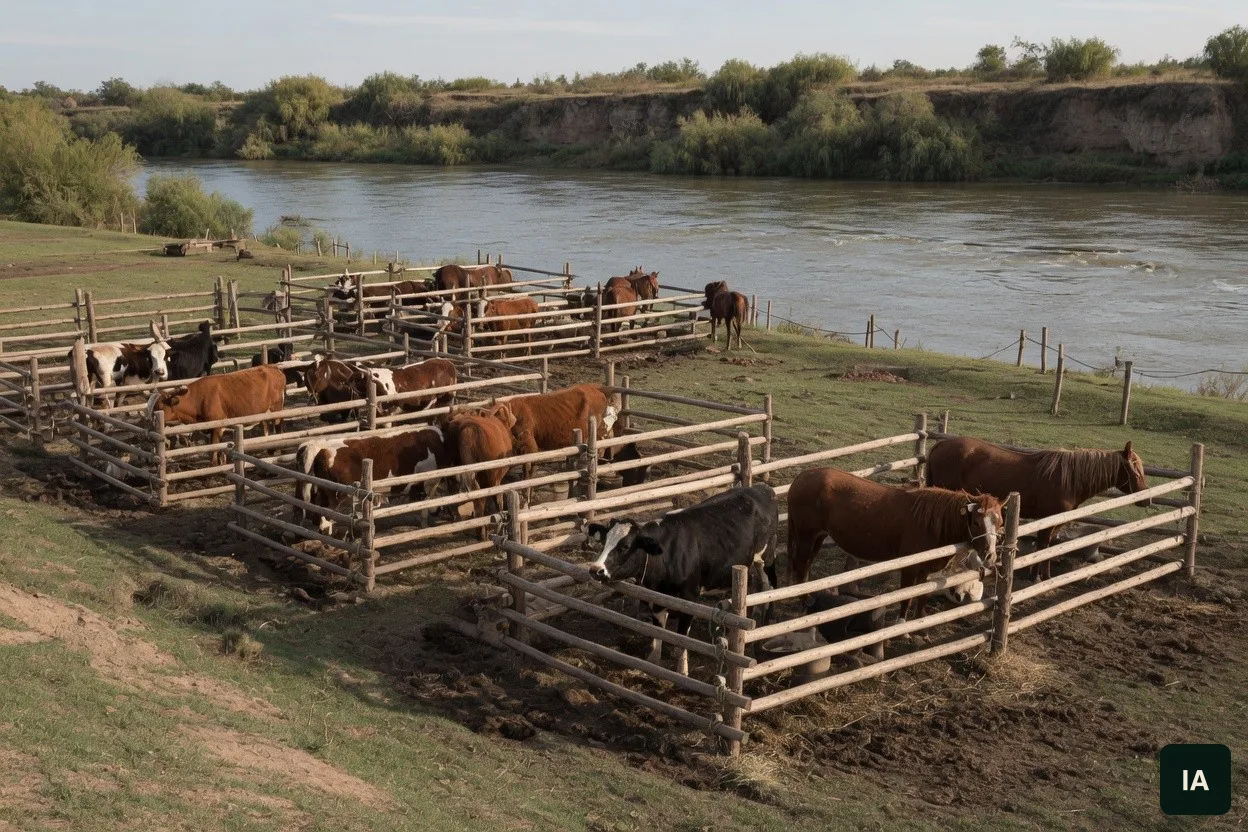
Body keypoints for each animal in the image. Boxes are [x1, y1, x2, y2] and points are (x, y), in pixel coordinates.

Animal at [145, 365, 286, 464]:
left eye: (159, 407)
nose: (150, 432)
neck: (198, 399)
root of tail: (273, 368)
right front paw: (222, 462)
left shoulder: (217, 426)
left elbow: (213, 449)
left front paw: (215, 465)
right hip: (264, 413)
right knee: (266, 426)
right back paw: (270, 449)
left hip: (276, 409)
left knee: (278, 426)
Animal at [296, 426, 451, 535]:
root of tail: (319, 449)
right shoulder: (430, 480)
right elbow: (427, 502)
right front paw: (426, 523)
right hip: (334, 496)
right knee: (325, 519)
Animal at [585, 484, 780, 675]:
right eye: (604, 542)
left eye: (625, 546)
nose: (595, 570)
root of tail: (762, 488)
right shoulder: (658, 597)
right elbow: (658, 631)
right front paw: (653, 663)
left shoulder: (690, 597)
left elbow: (682, 639)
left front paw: (682, 671)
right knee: (755, 585)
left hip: (765, 556)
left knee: (770, 586)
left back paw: (765, 624)